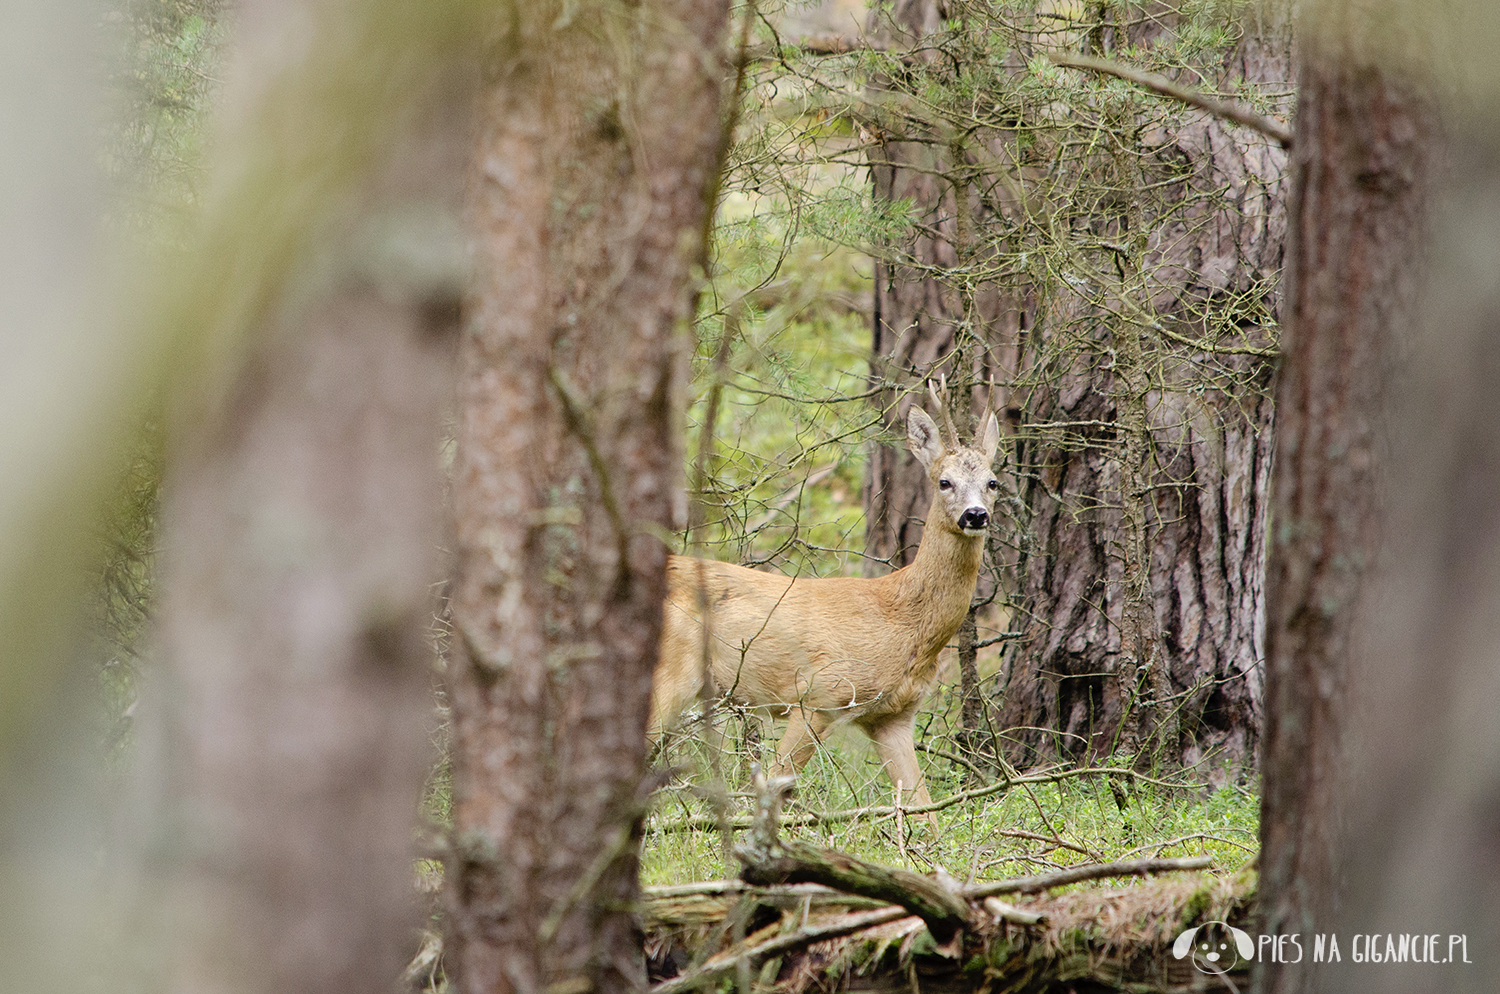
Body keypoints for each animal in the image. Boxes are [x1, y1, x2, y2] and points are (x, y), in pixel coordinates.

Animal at [651, 389, 1002, 821]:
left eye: (992, 482)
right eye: (944, 482)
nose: (976, 515)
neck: (900, 617)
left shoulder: (893, 717)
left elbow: (924, 810)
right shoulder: (819, 695)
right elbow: (770, 789)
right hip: (671, 675)